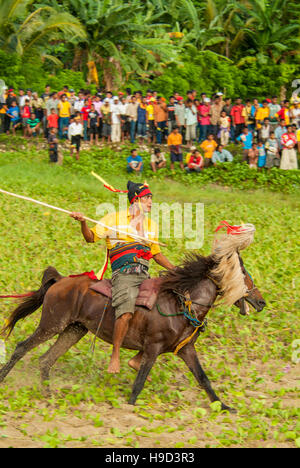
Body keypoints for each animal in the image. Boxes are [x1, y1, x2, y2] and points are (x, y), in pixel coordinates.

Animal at [0, 238, 264, 414]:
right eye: (242, 273)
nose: (261, 302)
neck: (181, 303)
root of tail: (61, 280)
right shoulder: (153, 348)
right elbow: (140, 381)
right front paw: (129, 408)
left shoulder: (186, 350)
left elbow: (203, 378)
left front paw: (225, 407)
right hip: (52, 324)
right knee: (22, 347)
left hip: (73, 330)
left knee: (46, 360)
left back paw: (48, 396)